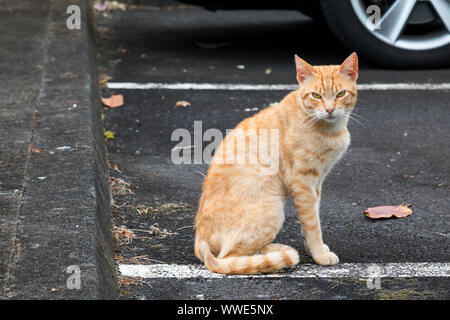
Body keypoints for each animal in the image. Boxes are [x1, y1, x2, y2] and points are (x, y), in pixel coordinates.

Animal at [195, 51, 356, 274]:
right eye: (316, 96)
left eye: (340, 94)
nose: (330, 109)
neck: (330, 129)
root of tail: (199, 239)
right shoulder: (302, 182)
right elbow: (312, 223)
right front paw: (319, 255)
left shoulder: (316, 183)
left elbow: (313, 217)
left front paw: (314, 248)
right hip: (273, 209)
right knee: (229, 257)